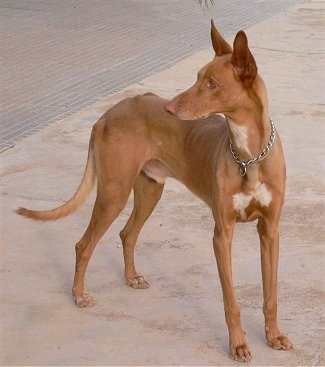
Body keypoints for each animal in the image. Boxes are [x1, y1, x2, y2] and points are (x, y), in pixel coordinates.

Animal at [16, 22, 292, 362]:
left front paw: (274, 336)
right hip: (114, 193)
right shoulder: (222, 234)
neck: (249, 157)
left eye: (211, 84)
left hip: (149, 192)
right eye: (197, 76)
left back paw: (131, 277)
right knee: (84, 245)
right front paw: (238, 344)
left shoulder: (270, 231)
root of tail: (106, 114)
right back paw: (79, 296)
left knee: (127, 234)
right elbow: (231, 302)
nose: (169, 108)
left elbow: (271, 295)